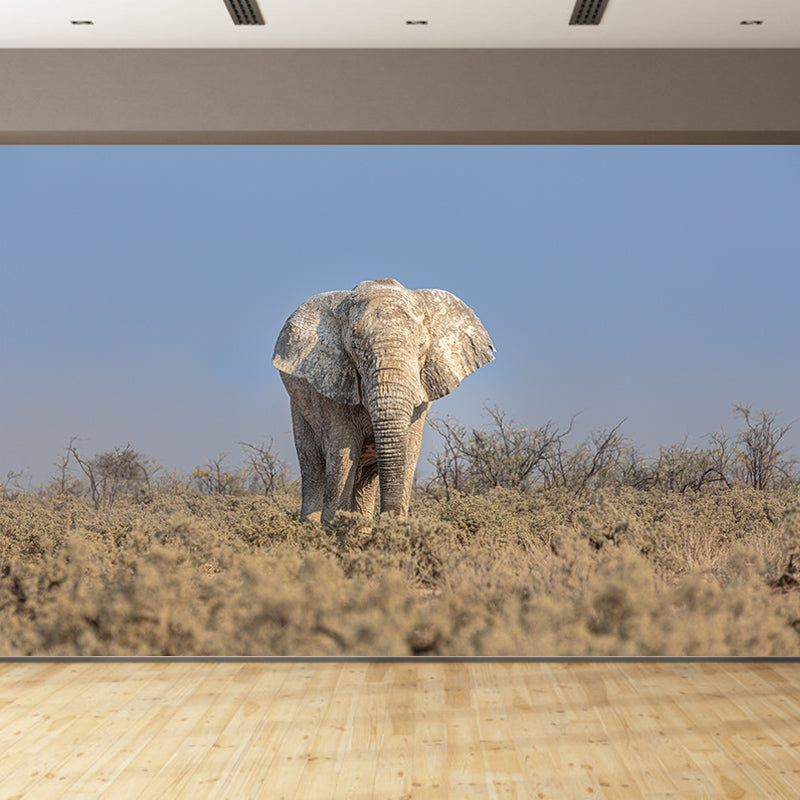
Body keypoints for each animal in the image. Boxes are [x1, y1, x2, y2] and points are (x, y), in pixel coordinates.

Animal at [272, 278, 494, 525]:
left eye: (421, 346)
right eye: (354, 347)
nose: (388, 518)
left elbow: (409, 448)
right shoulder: (331, 384)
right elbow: (342, 451)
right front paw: (333, 528)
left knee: (365, 480)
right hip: (300, 409)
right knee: (313, 466)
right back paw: (310, 525)